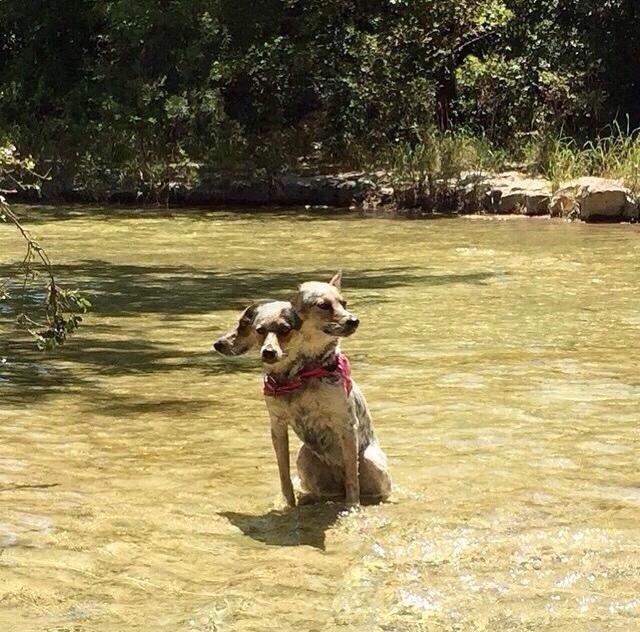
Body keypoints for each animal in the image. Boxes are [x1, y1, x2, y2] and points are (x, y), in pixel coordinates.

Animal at [213, 274, 391, 507]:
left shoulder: (346, 424)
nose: (354, 320)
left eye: (344, 303)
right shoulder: (277, 426)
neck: (299, 375)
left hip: (370, 462)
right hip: (304, 458)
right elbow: (284, 475)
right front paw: (288, 505)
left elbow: (353, 478)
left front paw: (352, 507)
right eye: (323, 305)